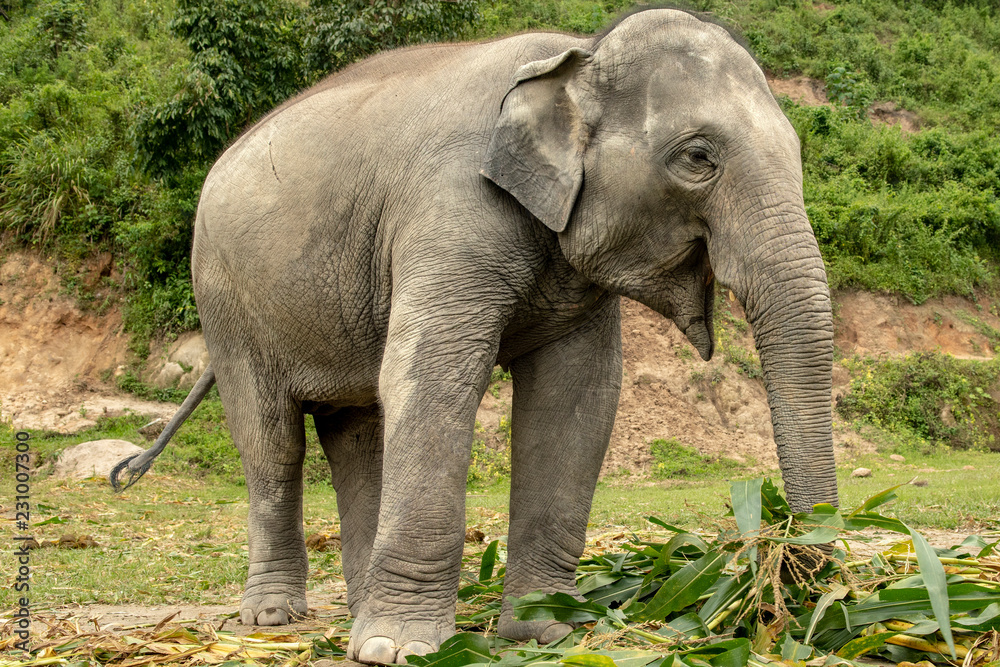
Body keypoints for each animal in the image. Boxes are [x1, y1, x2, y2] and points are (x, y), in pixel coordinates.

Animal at [111, 7, 838, 665]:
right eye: (697, 158)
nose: (800, 589)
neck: (577, 54)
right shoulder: (452, 210)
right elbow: (432, 372)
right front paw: (400, 649)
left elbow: (578, 397)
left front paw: (546, 631)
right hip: (227, 303)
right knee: (272, 443)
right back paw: (274, 616)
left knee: (357, 430)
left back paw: (357, 609)